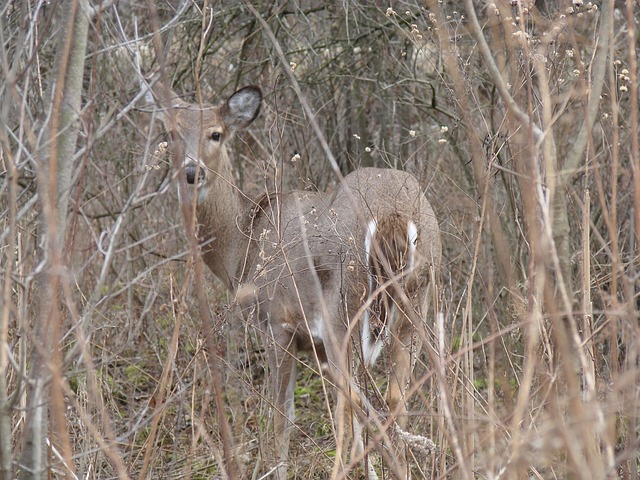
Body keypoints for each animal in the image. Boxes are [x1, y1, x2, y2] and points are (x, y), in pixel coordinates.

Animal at [149, 80, 440, 478]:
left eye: (216, 133)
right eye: (172, 133)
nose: (192, 173)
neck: (242, 247)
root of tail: (391, 213)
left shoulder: (278, 323)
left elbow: (282, 414)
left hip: (341, 314)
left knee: (350, 406)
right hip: (415, 306)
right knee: (393, 399)